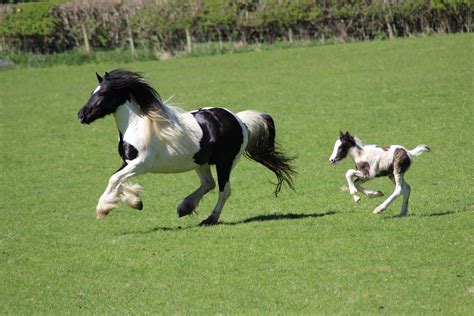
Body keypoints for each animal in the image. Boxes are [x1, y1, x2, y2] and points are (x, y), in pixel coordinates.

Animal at [77, 69, 296, 225]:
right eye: (92, 92)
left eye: (103, 93)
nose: (81, 115)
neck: (137, 125)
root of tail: (239, 119)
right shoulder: (128, 162)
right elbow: (118, 180)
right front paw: (135, 201)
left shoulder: (141, 164)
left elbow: (115, 179)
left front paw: (103, 208)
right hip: (201, 162)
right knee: (209, 184)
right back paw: (185, 207)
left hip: (225, 163)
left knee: (224, 190)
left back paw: (210, 219)